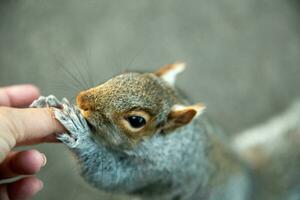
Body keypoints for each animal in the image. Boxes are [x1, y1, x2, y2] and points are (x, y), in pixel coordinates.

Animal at [30, 62, 300, 198]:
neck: (167, 142)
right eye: (125, 74)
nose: (83, 99)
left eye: (136, 121)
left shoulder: (156, 172)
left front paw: (82, 136)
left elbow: (108, 175)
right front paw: (52, 101)